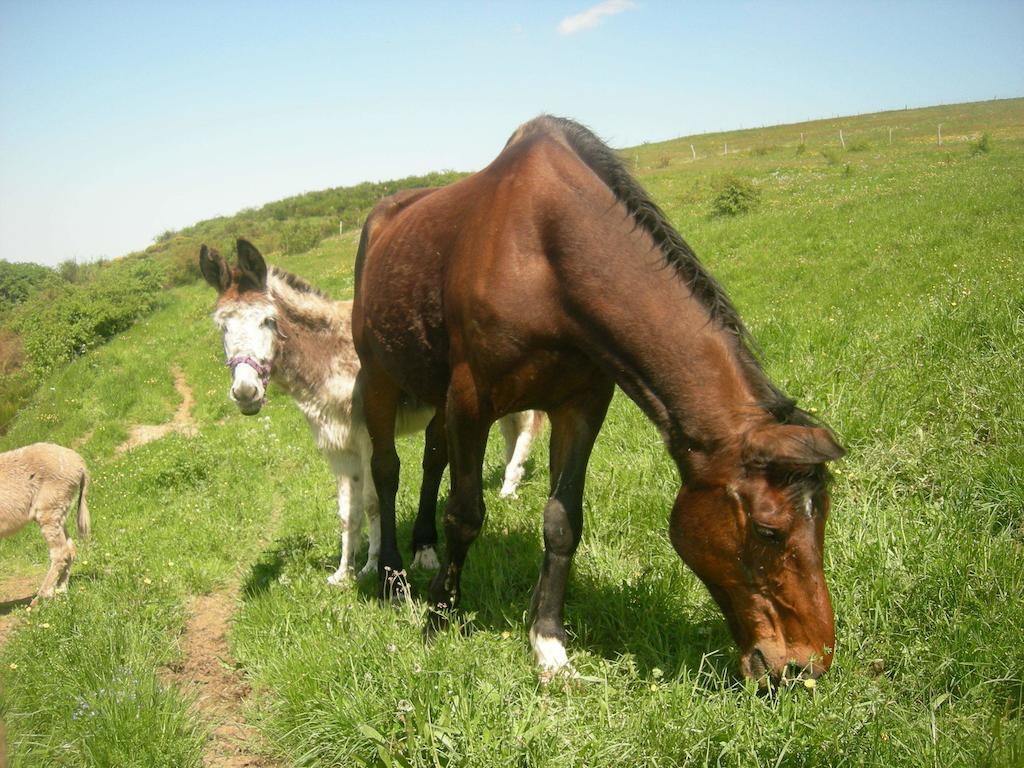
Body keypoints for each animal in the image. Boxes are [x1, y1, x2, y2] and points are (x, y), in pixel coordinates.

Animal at [198, 240, 544, 581]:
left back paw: (510, 487)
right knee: (511, 429)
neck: (331, 356)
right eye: (222, 327)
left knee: (528, 425)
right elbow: (346, 512)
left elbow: (371, 501)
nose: (245, 393)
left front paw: (373, 565)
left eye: (268, 320)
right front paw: (344, 573)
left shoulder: (368, 437)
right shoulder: (337, 445)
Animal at [352, 115, 847, 684]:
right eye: (769, 532)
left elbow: (563, 521)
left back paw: (424, 548)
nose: (806, 665)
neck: (546, 257)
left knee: (432, 456)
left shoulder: (582, 404)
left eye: (823, 518)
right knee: (387, 469)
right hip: (380, 378)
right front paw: (439, 617)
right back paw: (392, 577)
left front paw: (548, 642)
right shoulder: (471, 402)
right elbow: (466, 514)